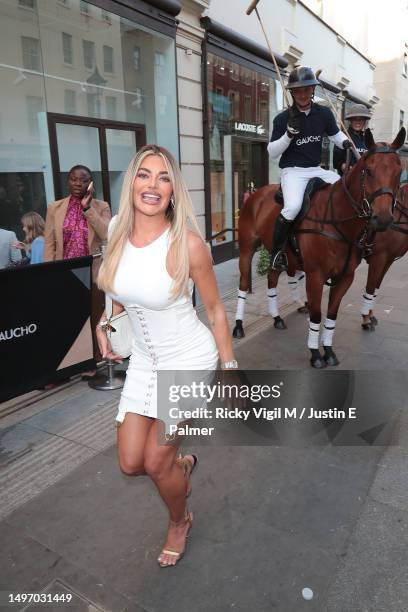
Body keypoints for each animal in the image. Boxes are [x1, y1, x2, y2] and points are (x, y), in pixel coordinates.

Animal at [360, 180, 408, 330]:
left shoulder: (388, 260)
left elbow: (376, 285)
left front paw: (370, 314)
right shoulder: (378, 258)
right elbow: (370, 286)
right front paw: (365, 318)